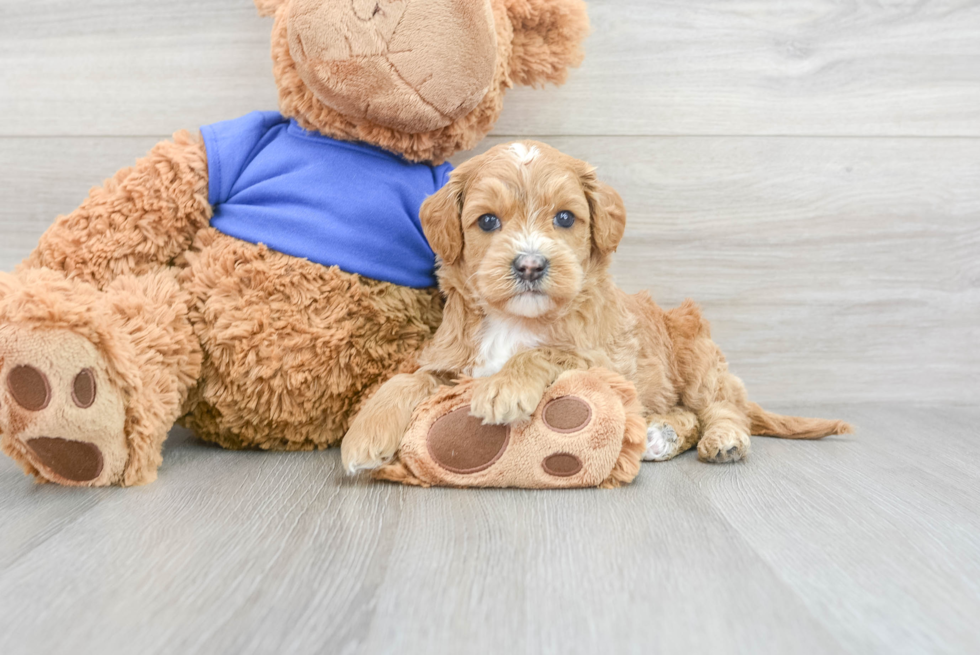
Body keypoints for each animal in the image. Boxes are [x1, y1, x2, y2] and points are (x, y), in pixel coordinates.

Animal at [342, 141, 848, 474]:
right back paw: (658, 435)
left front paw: (505, 386)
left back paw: (724, 439)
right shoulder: (448, 358)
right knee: (684, 412)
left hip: (696, 353)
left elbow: (546, 351)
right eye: (487, 221)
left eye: (565, 217)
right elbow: (407, 379)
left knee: (721, 405)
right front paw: (363, 436)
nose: (530, 264)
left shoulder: (606, 362)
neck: (513, 321)